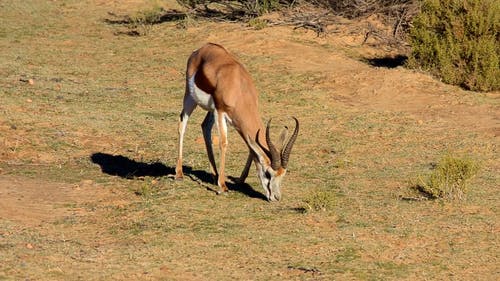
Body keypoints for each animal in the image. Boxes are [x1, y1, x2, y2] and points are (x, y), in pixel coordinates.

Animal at [176, 42, 296, 200]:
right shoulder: (220, 112)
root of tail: (202, 48)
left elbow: (251, 147)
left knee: (205, 126)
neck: (239, 88)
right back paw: (179, 174)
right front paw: (223, 186)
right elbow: (223, 143)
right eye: (268, 173)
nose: (276, 198)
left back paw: (214, 175)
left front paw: (240, 179)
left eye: (283, 174)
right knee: (182, 124)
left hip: (210, 110)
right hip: (190, 98)